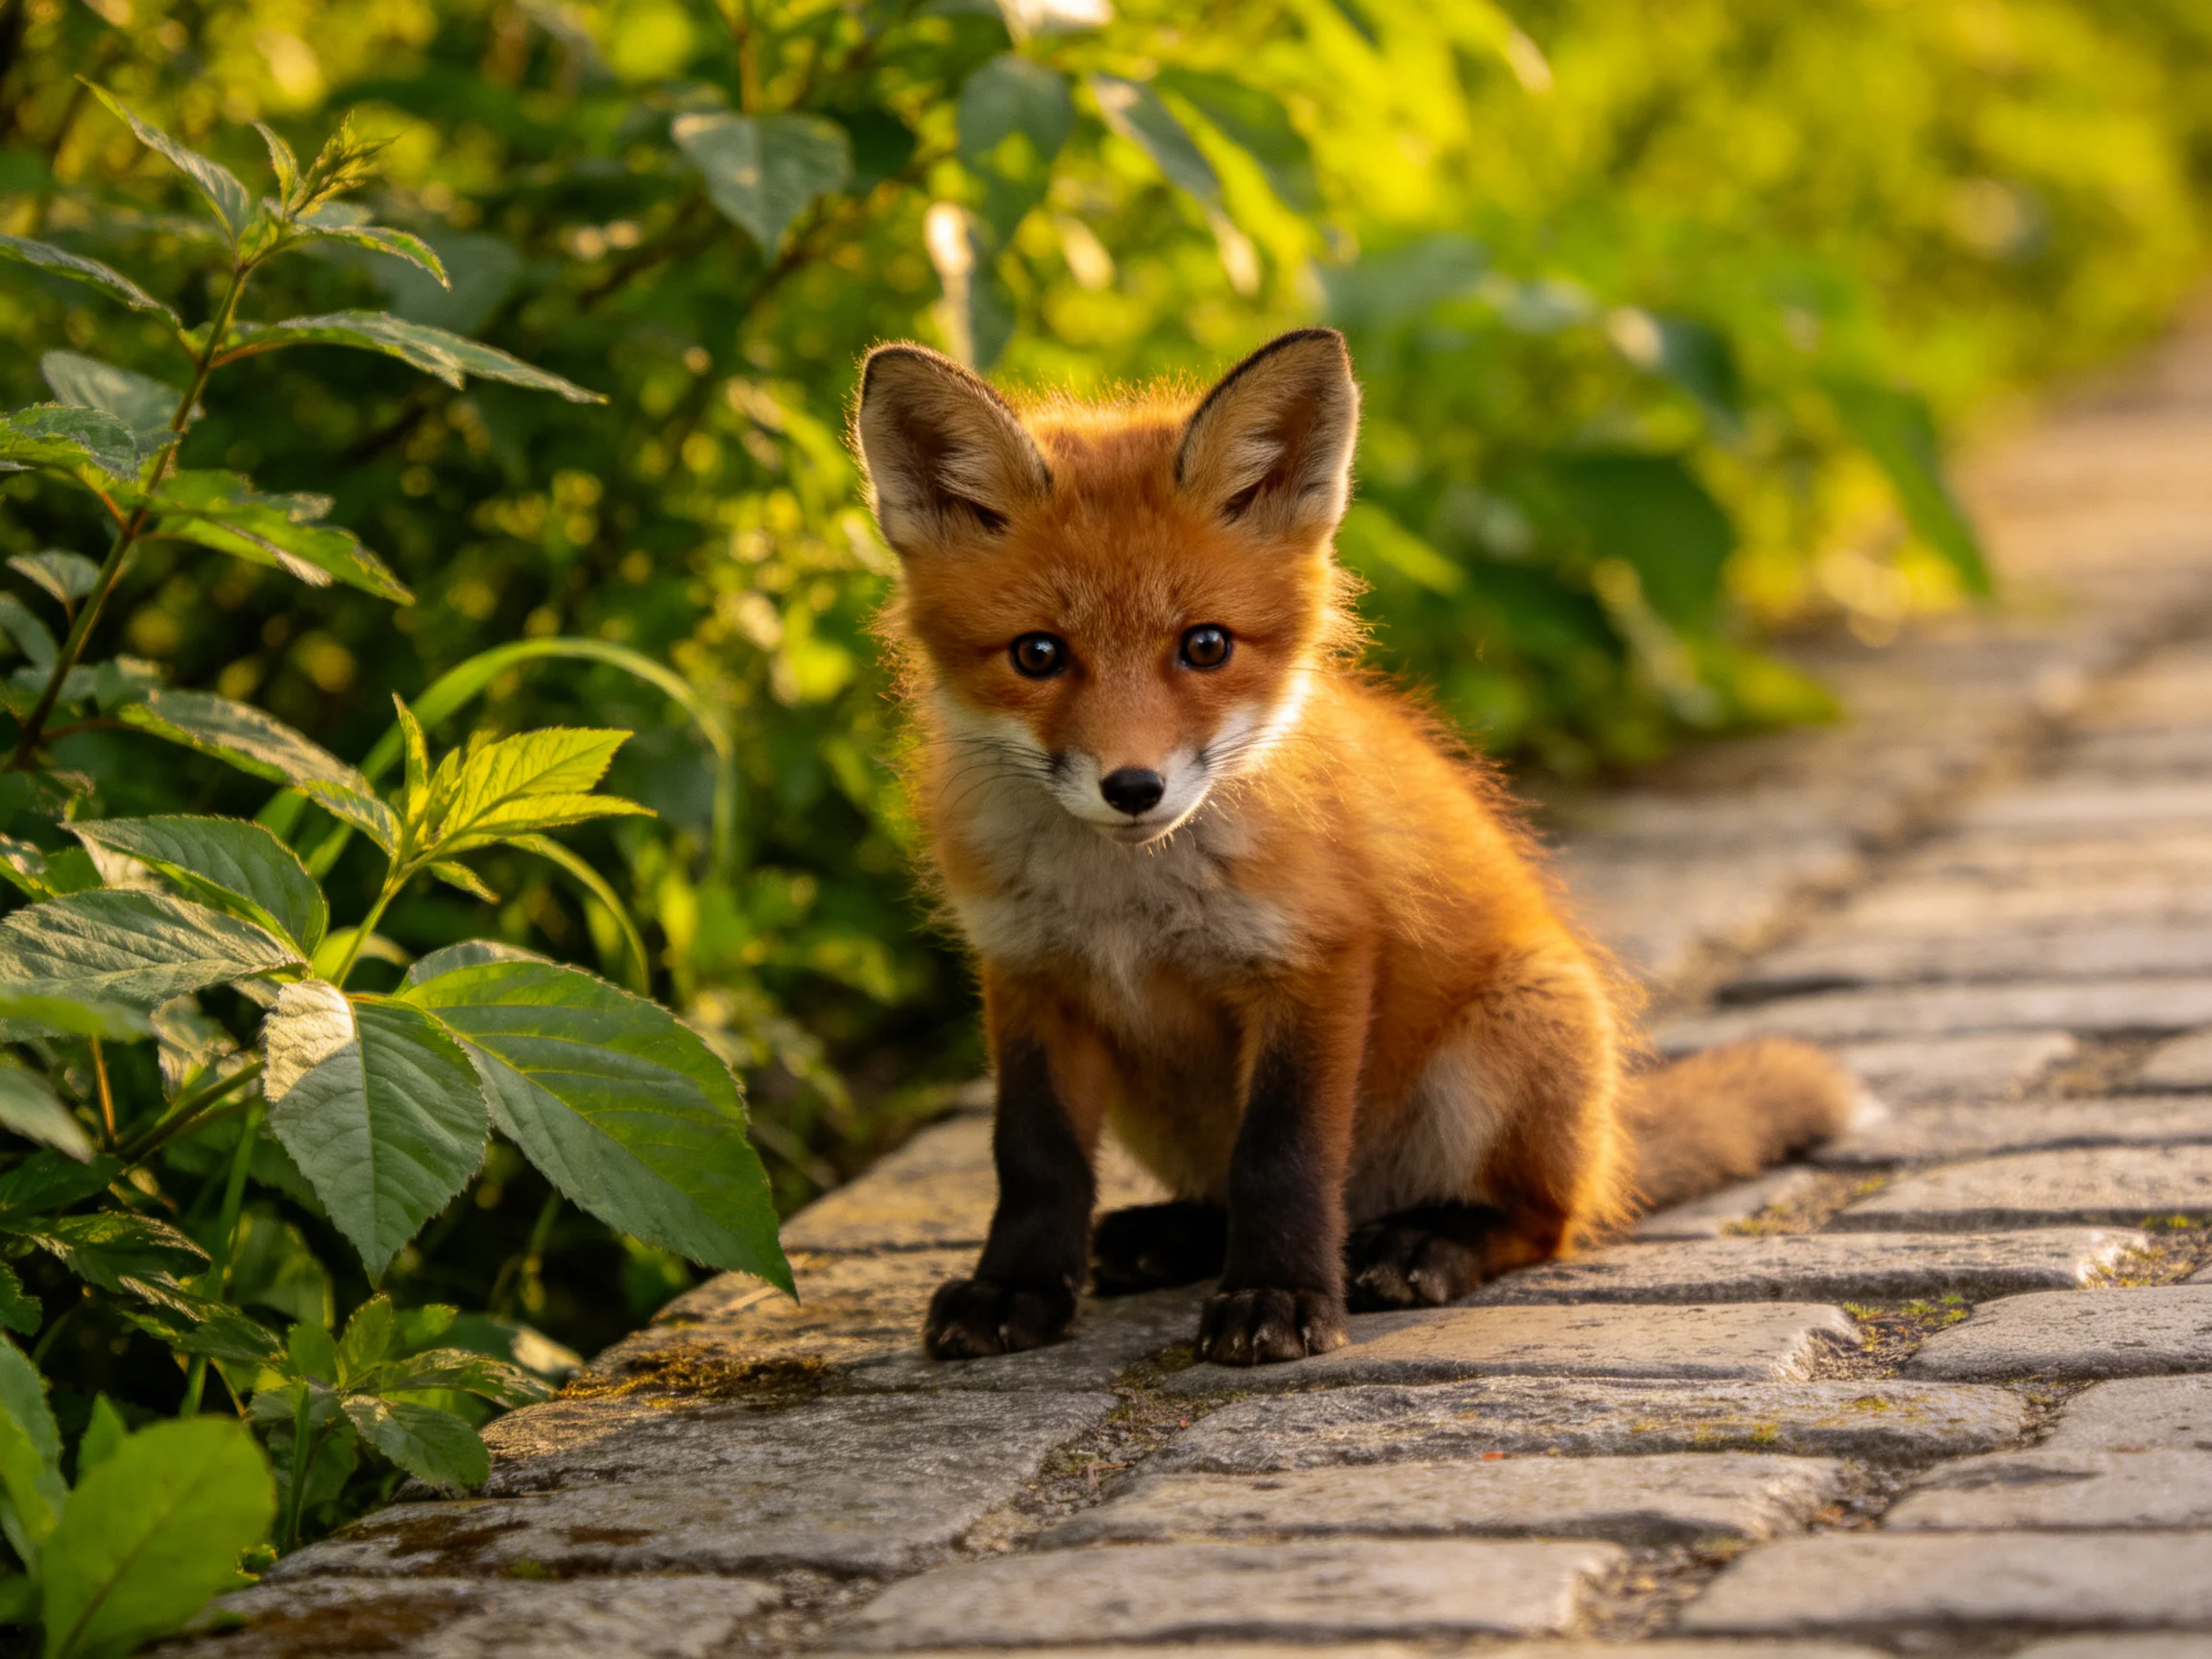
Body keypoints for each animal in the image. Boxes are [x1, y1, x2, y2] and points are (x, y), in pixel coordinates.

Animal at [852, 326, 1858, 1367]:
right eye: (1038, 654)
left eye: (1205, 646)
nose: (1133, 788)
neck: (1126, 906)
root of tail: (1612, 1135)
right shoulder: (1027, 977)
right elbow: (1034, 1156)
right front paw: (1015, 1290)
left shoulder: (1316, 962)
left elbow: (1282, 1155)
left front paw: (1279, 1296)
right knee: (1222, 1193)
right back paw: (1166, 1236)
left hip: (1509, 1045)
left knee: (1542, 1222)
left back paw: (1421, 1245)